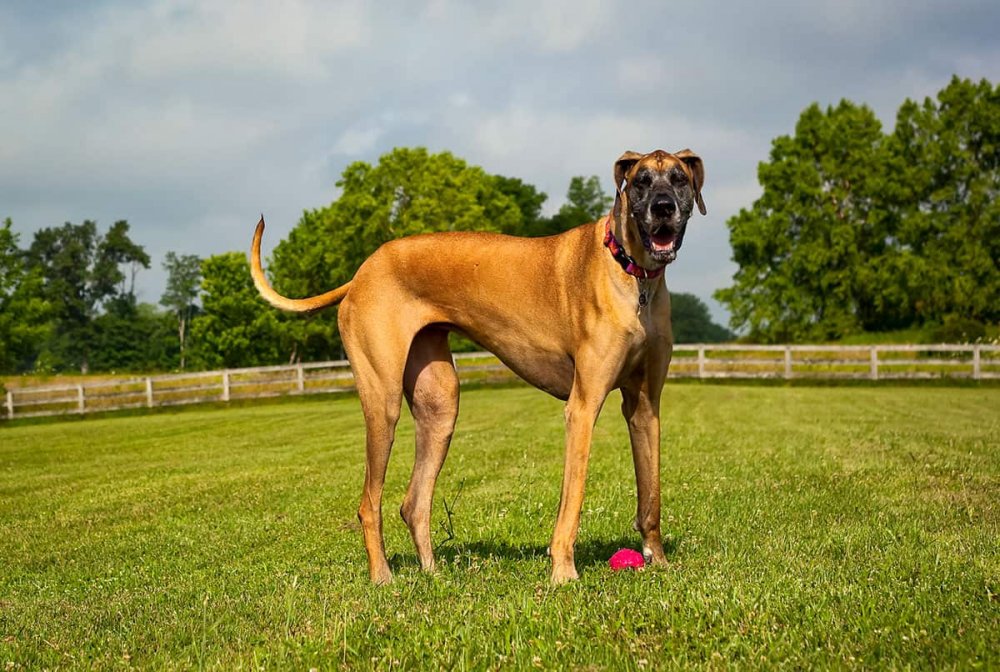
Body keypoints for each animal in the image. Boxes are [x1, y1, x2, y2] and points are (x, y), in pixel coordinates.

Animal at [250, 148, 704, 584]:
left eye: (679, 179)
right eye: (640, 181)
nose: (663, 207)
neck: (632, 272)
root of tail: (362, 272)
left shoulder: (644, 407)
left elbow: (651, 497)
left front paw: (659, 562)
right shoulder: (582, 406)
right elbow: (572, 500)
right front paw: (563, 573)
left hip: (440, 404)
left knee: (413, 503)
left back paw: (431, 573)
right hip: (383, 403)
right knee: (369, 503)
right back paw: (382, 578)